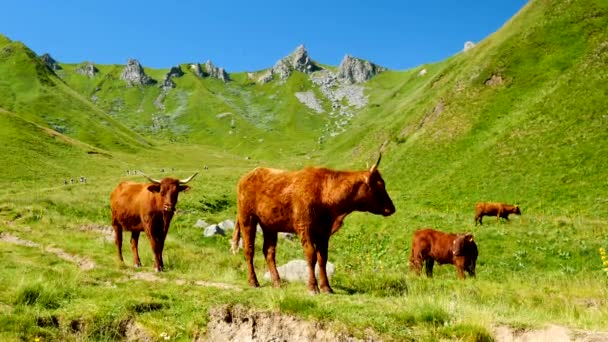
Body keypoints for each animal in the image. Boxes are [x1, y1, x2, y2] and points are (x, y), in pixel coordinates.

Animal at [232, 154, 394, 294]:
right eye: (380, 185)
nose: (392, 208)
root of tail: (250, 174)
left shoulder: (324, 232)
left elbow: (322, 258)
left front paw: (326, 287)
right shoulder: (305, 228)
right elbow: (311, 256)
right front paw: (312, 287)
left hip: (270, 225)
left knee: (269, 252)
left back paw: (277, 282)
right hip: (247, 218)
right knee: (249, 249)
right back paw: (253, 281)